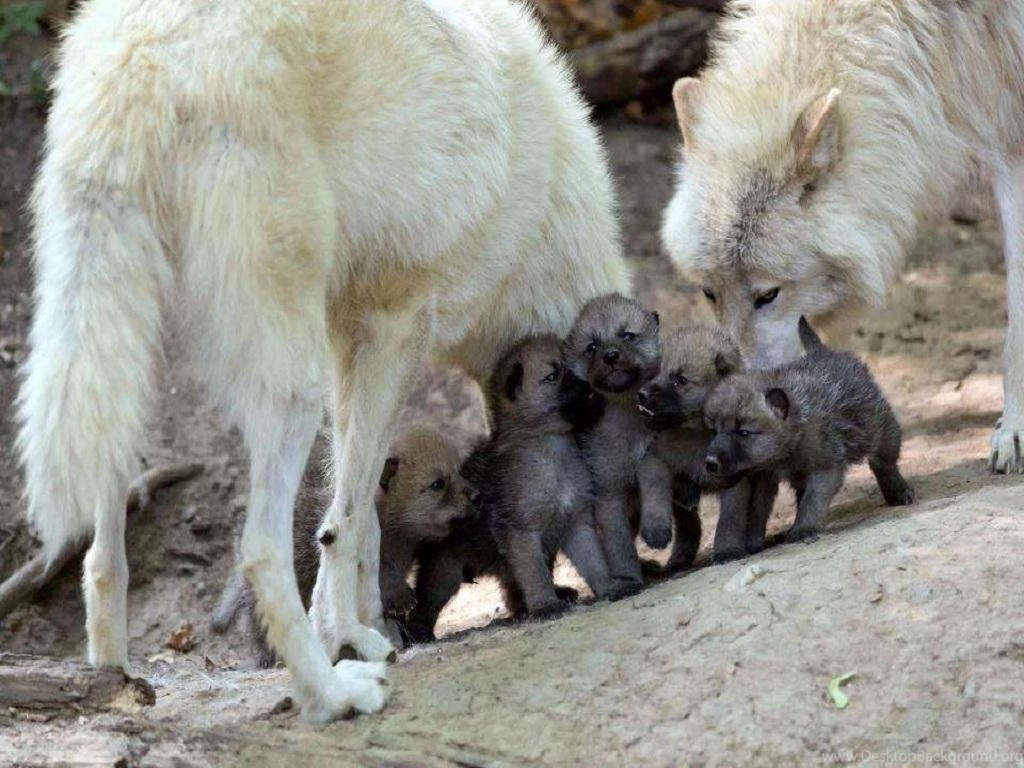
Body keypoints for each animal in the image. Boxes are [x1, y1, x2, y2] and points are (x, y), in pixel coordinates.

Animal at [17, 0, 629, 721]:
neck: (542, 211)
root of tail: (144, 55)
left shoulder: (351, 342)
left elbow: (362, 512)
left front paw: (368, 627)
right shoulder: (395, 332)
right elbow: (347, 518)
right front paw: (349, 637)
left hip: (125, 362)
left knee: (100, 556)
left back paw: (112, 686)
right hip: (291, 387)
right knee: (257, 551)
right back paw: (330, 694)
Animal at [703, 318, 915, 553]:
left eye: (744, 432)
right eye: (714, 431)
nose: (710, 462)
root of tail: (823, 351)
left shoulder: (825, 468)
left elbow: (812, 501)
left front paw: (804, 528)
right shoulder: (765, 477)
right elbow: (758, 511)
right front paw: (751, 542)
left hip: (882, 430)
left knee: (884, 463)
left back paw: (898, 491)